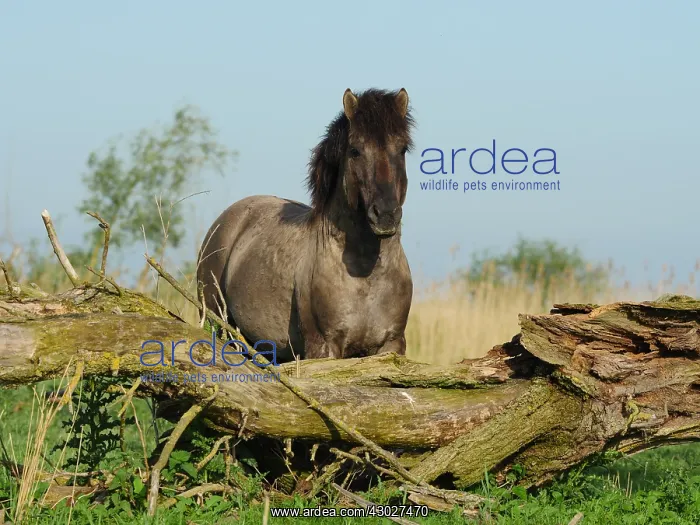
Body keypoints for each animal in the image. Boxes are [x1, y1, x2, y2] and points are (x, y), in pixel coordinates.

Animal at [197, 88, 415, 362]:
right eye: (355, 150)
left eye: (402, 149)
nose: (385, 214)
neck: (366, 276)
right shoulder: (323, 347)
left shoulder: (391, 346)